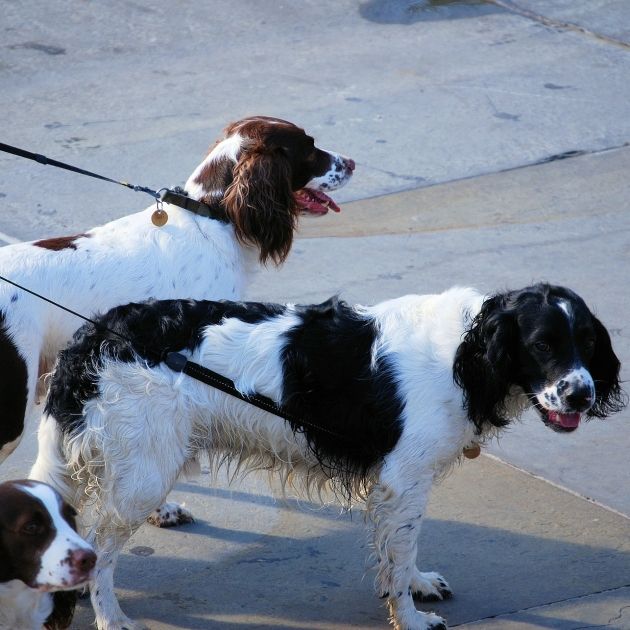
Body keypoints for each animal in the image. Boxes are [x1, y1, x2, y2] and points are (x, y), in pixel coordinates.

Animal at [29, 283, 624, 629]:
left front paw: (415, 585)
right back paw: (111, 618)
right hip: (144, 473)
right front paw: (411, 617)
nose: (581, 394)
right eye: (543, 345)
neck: (464, 351)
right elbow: (401, 550)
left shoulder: (398, 484)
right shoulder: (405, 478)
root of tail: (92, 339)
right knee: (101, 553)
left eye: (590, 343)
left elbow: (397, 552)